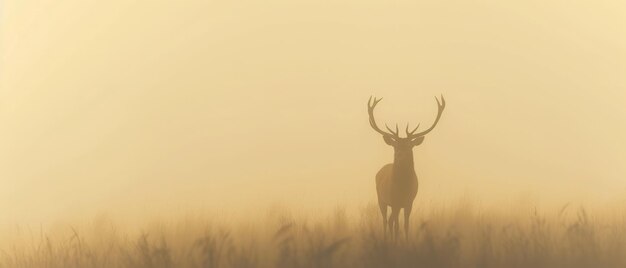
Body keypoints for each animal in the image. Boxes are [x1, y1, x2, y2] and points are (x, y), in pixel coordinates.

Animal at [364, 94, 446, 241]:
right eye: (395, 146)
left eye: (409, 146)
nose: (400, 155)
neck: (402, 188)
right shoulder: (394, 201)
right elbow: (397, 226)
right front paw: (395, 242)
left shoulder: (409, 201)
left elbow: (406, 225)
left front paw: (406, 243)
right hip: (381, 198)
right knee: (385, 220)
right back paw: (386, 239)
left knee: (390, 221)